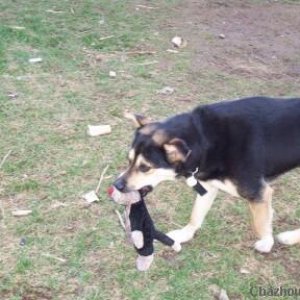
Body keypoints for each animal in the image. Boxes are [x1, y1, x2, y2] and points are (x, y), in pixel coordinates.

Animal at [113, 96, 300, 253]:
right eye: (129, 160)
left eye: (145, 167)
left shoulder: (258, 192)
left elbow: (261, 222)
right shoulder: (208, 187)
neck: (204, 139)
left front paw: (267, 243)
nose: (117, 185)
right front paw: (185, 234)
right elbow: (195, 215)